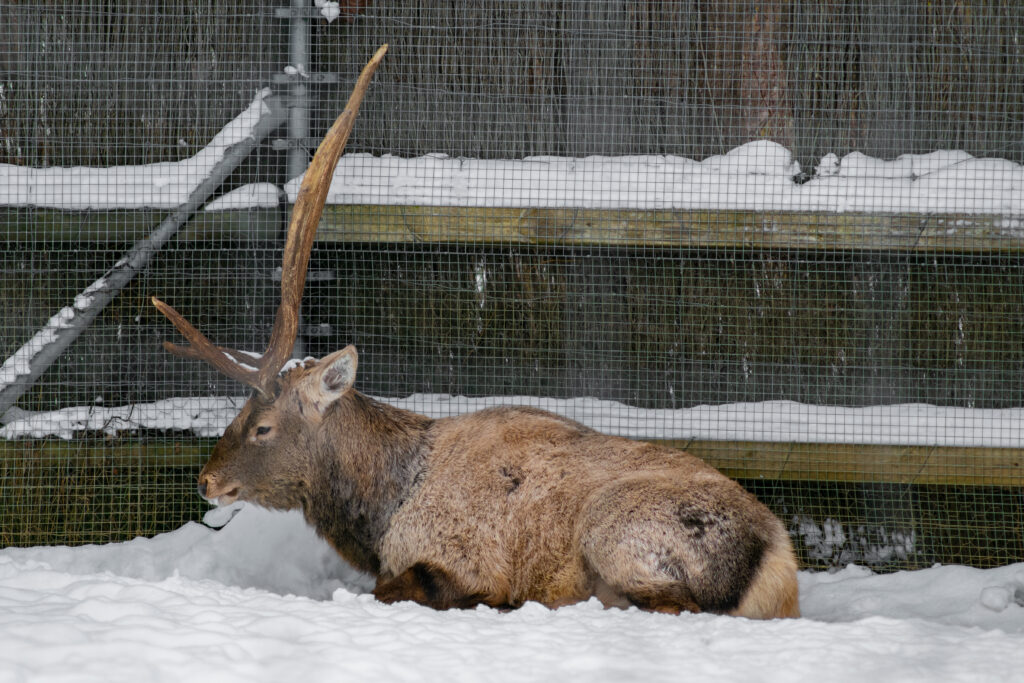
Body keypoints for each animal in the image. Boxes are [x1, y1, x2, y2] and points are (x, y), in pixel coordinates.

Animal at [151, 45, 798, 618]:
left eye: (262, 426)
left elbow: (396, 590)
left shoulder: (464, 559)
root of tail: (778, 565)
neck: (381, 510)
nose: (206, 481)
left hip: (618, 530)